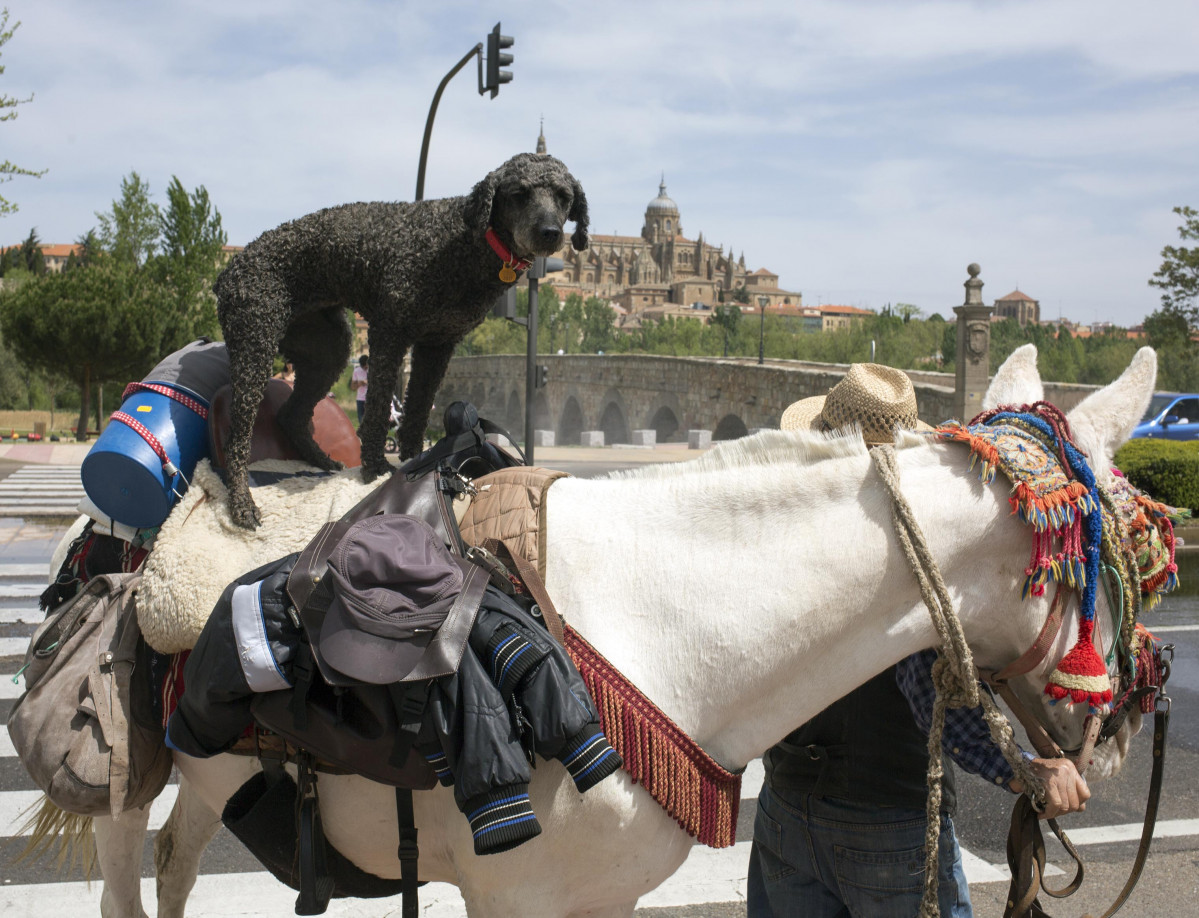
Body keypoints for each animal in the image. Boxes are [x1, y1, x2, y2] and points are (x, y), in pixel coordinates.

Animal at [218, 153, 592, 527]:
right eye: (519, 194)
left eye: (563, 197)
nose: (550, 232)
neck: (464, 245)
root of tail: (230, 268)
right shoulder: (389, 332)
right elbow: (379, 408)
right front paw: (375, 468)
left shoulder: (437, 345)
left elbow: (416, 412)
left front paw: (418, 461)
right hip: (255, 344)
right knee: (237, 438)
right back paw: (242, 505)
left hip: (328, 351)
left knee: (291, 415)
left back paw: (322, 462)